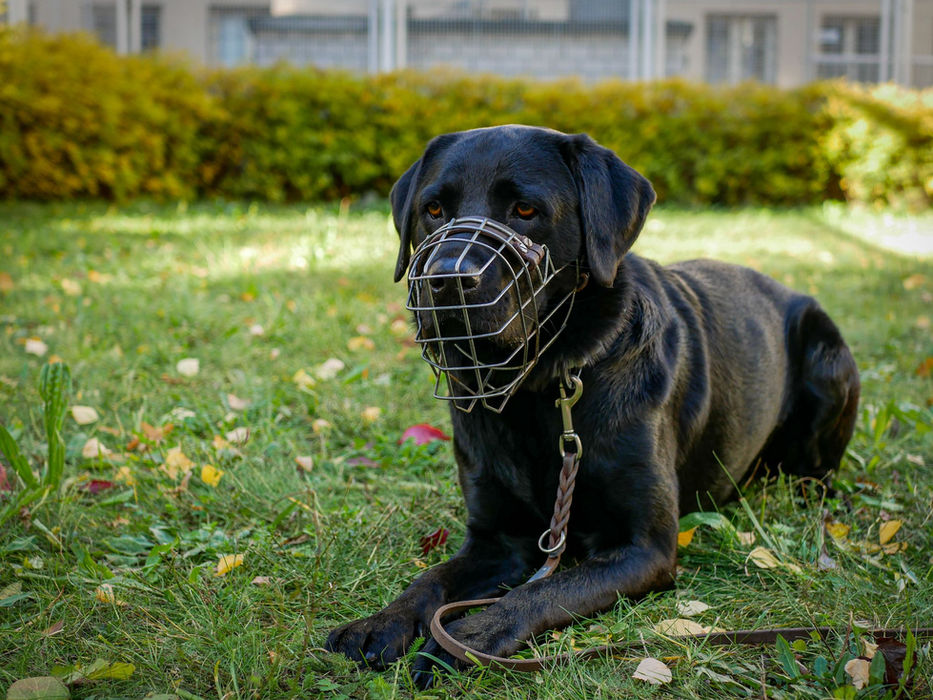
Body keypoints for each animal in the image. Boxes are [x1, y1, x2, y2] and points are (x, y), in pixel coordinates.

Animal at [325, 125, 860, 686]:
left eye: (525, 210)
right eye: (433, 209)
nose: (445, 278)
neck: (541, 390)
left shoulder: (644, 547)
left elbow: (542, 589)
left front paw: (464, 640)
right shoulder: (497, 539)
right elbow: (430, 579)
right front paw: (380, 622)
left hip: (829, 363)